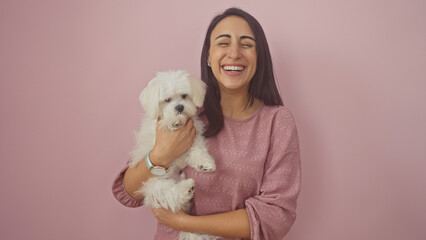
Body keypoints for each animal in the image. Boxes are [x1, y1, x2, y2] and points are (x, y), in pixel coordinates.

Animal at [128, 70, 218, 240]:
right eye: (167, 100)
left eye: (184, 96)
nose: (180, 107)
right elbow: (166, 123)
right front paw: (173, 120)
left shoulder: (194, 137)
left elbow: (198, 150)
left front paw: (204, 164)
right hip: (156, 185)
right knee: (173, 197)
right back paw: (187, 188)